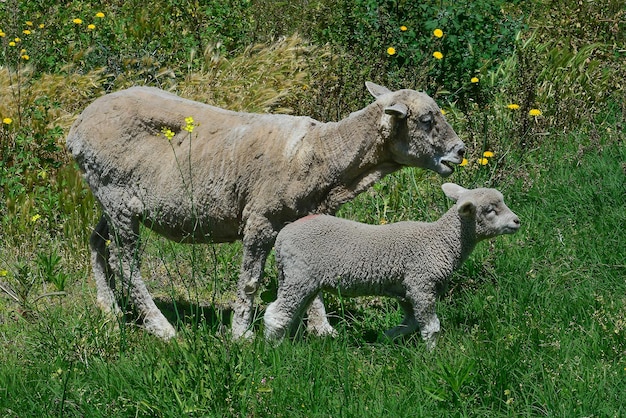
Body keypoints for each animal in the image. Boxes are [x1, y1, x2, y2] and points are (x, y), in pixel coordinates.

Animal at [67, 81, 464, 340]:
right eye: (427, 121)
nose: (460, 151)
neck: (322, 154)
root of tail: (76, 128)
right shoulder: (261, 219)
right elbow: (250, 281)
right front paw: (241, 334)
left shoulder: (303, 221)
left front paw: (322, 329)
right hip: (117, 197)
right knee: (125, 263)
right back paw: (162, 328)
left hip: (107, 196)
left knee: (96, 242)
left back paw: (109, 309)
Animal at [260, 184, 520, 350]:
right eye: (490, 210)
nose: (517, 221)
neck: (440, 242)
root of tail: (282, 238)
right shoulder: (421, 284)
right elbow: (431, 326)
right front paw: (432, 355)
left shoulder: (405, 291)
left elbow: (411, 322)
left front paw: (386, 337)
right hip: (299, 276)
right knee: (276, 314)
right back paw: (274, 351)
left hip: (300, 279)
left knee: (293, 313)